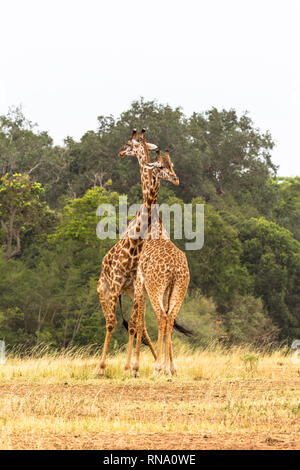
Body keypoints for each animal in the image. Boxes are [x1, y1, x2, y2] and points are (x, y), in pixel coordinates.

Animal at [124, 152, 190, 376]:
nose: (176, 179)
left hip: (156, 287)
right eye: (162, 166)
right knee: (170, 317)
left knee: (161, 316)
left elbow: (137, 321)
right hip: (179, 287)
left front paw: (132, 367)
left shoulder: (140, 281)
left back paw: (157, 367)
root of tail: (175, 269)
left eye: (171, 165)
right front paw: (170, 367)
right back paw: (169, 367)